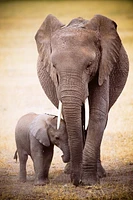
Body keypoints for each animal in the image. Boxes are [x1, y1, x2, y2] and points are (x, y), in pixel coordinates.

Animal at [34, 14, 129, 186]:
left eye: (89, 65)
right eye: (54, 66)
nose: (75, 181)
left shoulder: (104, 66)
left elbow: (98, 114)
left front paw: (89, 181)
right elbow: (72, 115)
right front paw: (78, 176)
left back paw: (100, 173)